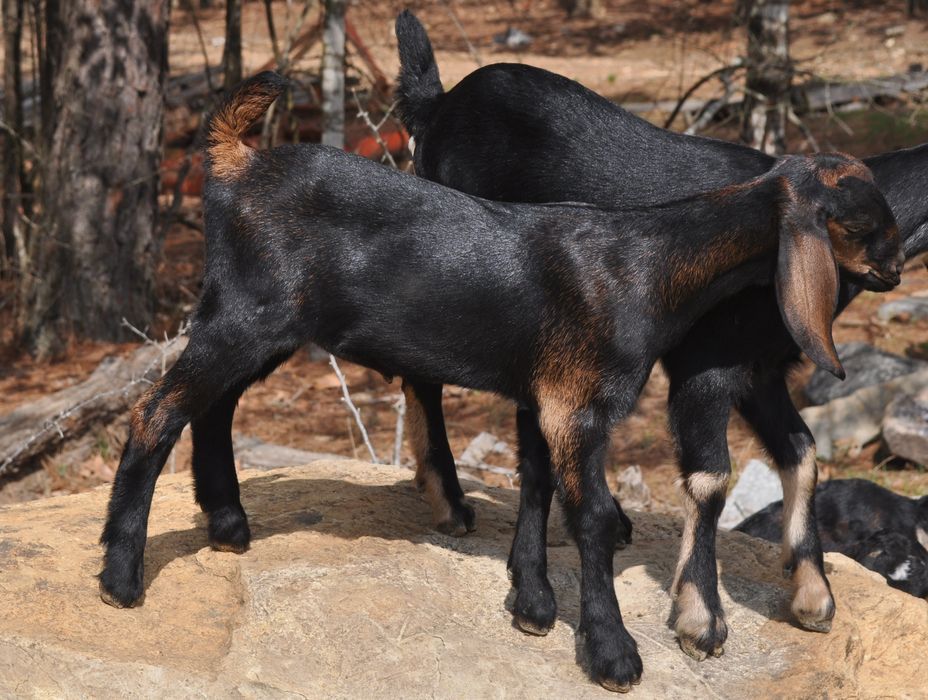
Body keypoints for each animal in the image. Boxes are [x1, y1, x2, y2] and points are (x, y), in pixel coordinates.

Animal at [98, 73, 902, 692]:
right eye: (863, 225)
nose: (896, 272)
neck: (646, 262)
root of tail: (235, 163)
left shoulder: (546, 394)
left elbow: (536, 483)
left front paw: (533, 604)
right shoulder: (578, 403)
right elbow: (591, 518)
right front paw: (612, 653)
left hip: (259, 321)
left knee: (212, 405)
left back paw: (228, 524)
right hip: (247, 315)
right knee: (154, 412)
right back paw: (121, 577)